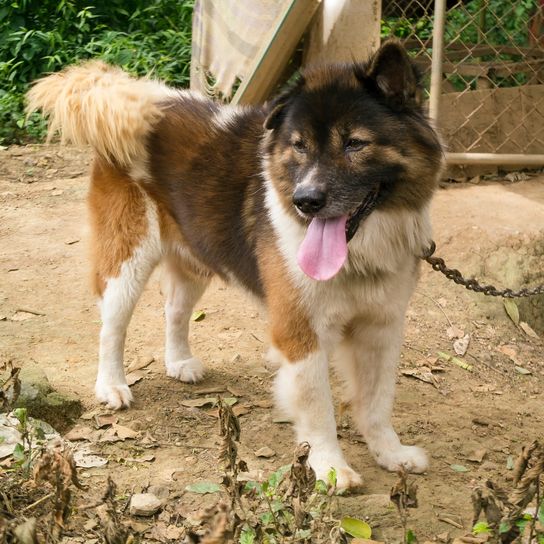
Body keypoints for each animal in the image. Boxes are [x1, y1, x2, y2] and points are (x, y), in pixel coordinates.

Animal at [27, 39, 444, 488]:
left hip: (195, 258)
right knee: (112, 326)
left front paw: (390, 452)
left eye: (354, 144)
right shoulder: (300, 330)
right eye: (299, 145)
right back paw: (111, 386)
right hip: (128, 258)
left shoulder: (381, 326)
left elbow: (378, 400)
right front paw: (331, 467)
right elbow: (318, 408)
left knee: (174, 310)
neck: (360, 251)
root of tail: (152, 102)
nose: (305, 201)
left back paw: (179, 363)